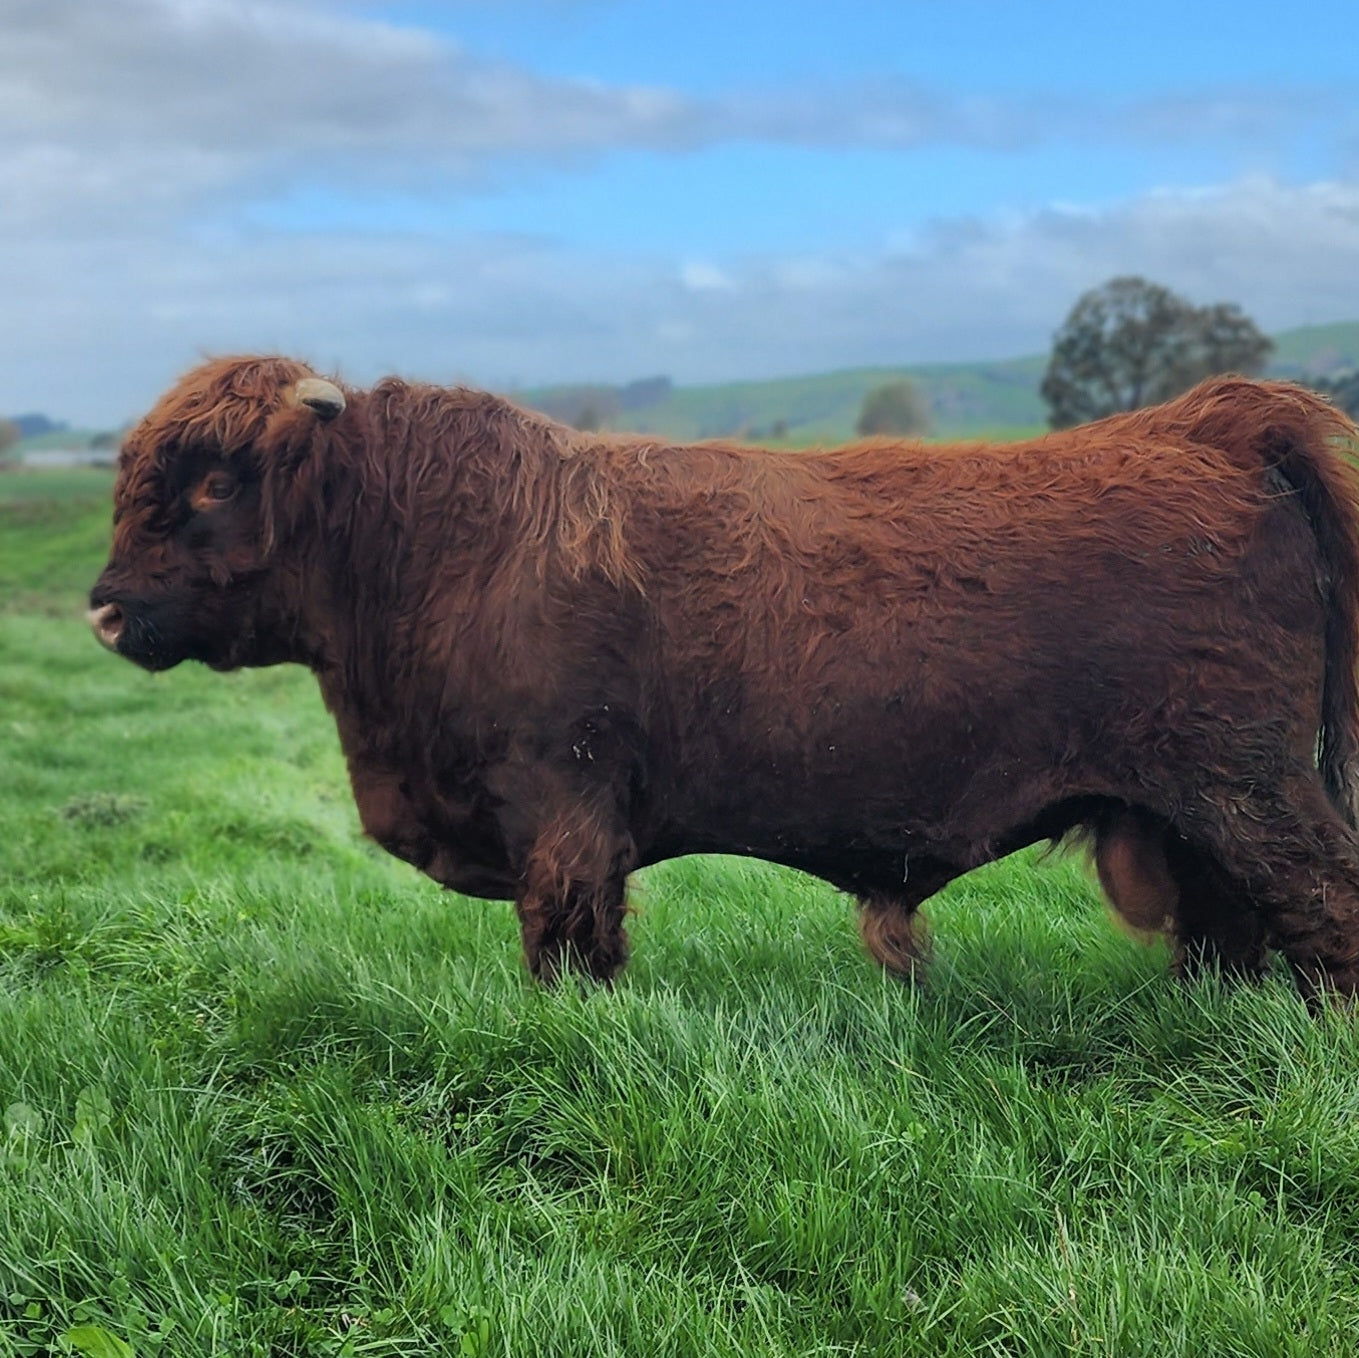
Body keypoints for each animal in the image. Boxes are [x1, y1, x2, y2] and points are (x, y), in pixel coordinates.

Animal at [90, 361, 1359, 1000]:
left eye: (213, 481)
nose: (104, 606)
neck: (431, 539)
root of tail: (1207, 422)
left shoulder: (562, 810)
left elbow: (568, 946)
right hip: (1197, 811)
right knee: (1229, 930)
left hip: (1247, 789)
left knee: (1322, 904)